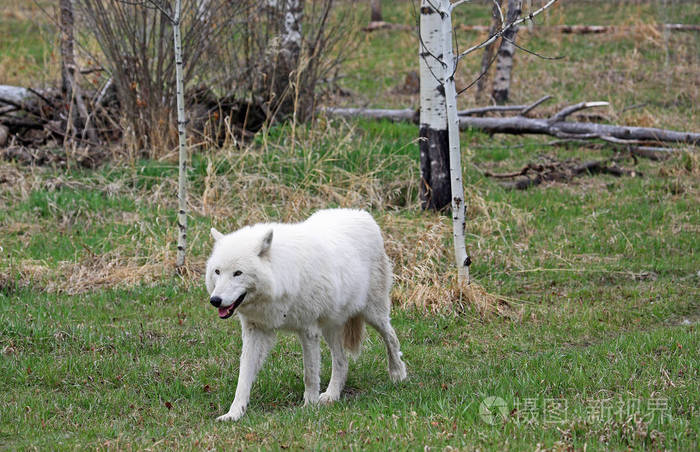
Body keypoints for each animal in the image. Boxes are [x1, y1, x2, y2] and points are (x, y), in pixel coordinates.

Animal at [205, 210, 408, 422]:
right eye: (217, 271)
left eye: (238, 273)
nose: (215, 300)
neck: (281, 277)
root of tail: (363, 214)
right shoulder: (255, 330)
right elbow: (243, 377)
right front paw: (234, 413)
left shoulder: (308, 330)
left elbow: (309, 374)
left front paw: (309, 407)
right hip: (330, 327)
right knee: (342, 362)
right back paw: (331, 396)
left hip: (373, 314)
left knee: (391, 337)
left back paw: (398, 374)